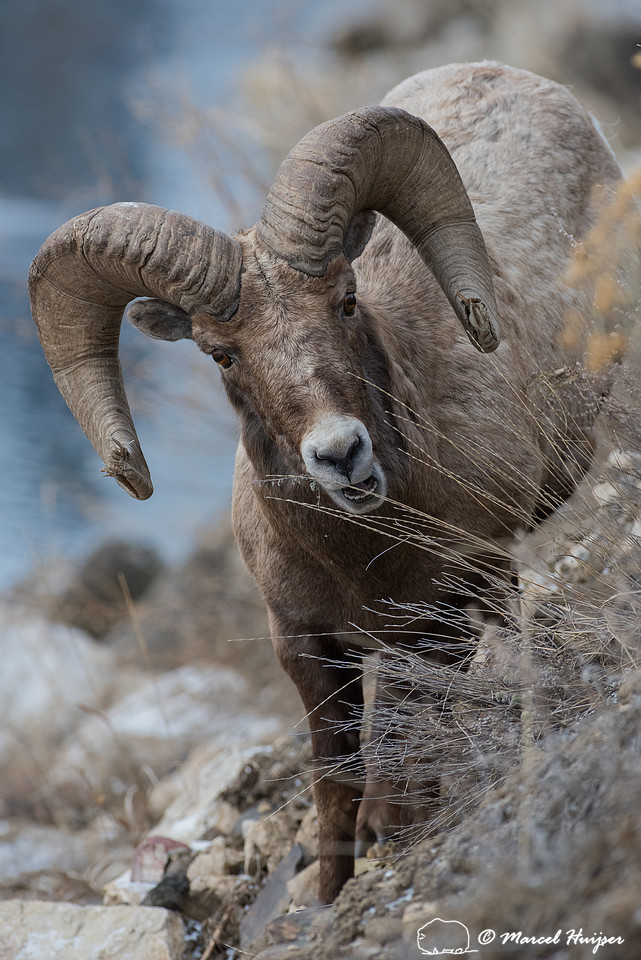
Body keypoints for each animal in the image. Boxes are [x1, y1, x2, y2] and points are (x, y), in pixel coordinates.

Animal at [29, 61, 622, 902]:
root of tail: (511, 78)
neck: (355, 560)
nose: (341, 454)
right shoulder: (307, 646)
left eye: (345, 300)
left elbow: (400, 769)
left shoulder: (427, 629)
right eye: (221, 354)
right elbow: (336, 786)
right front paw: (326, 896)